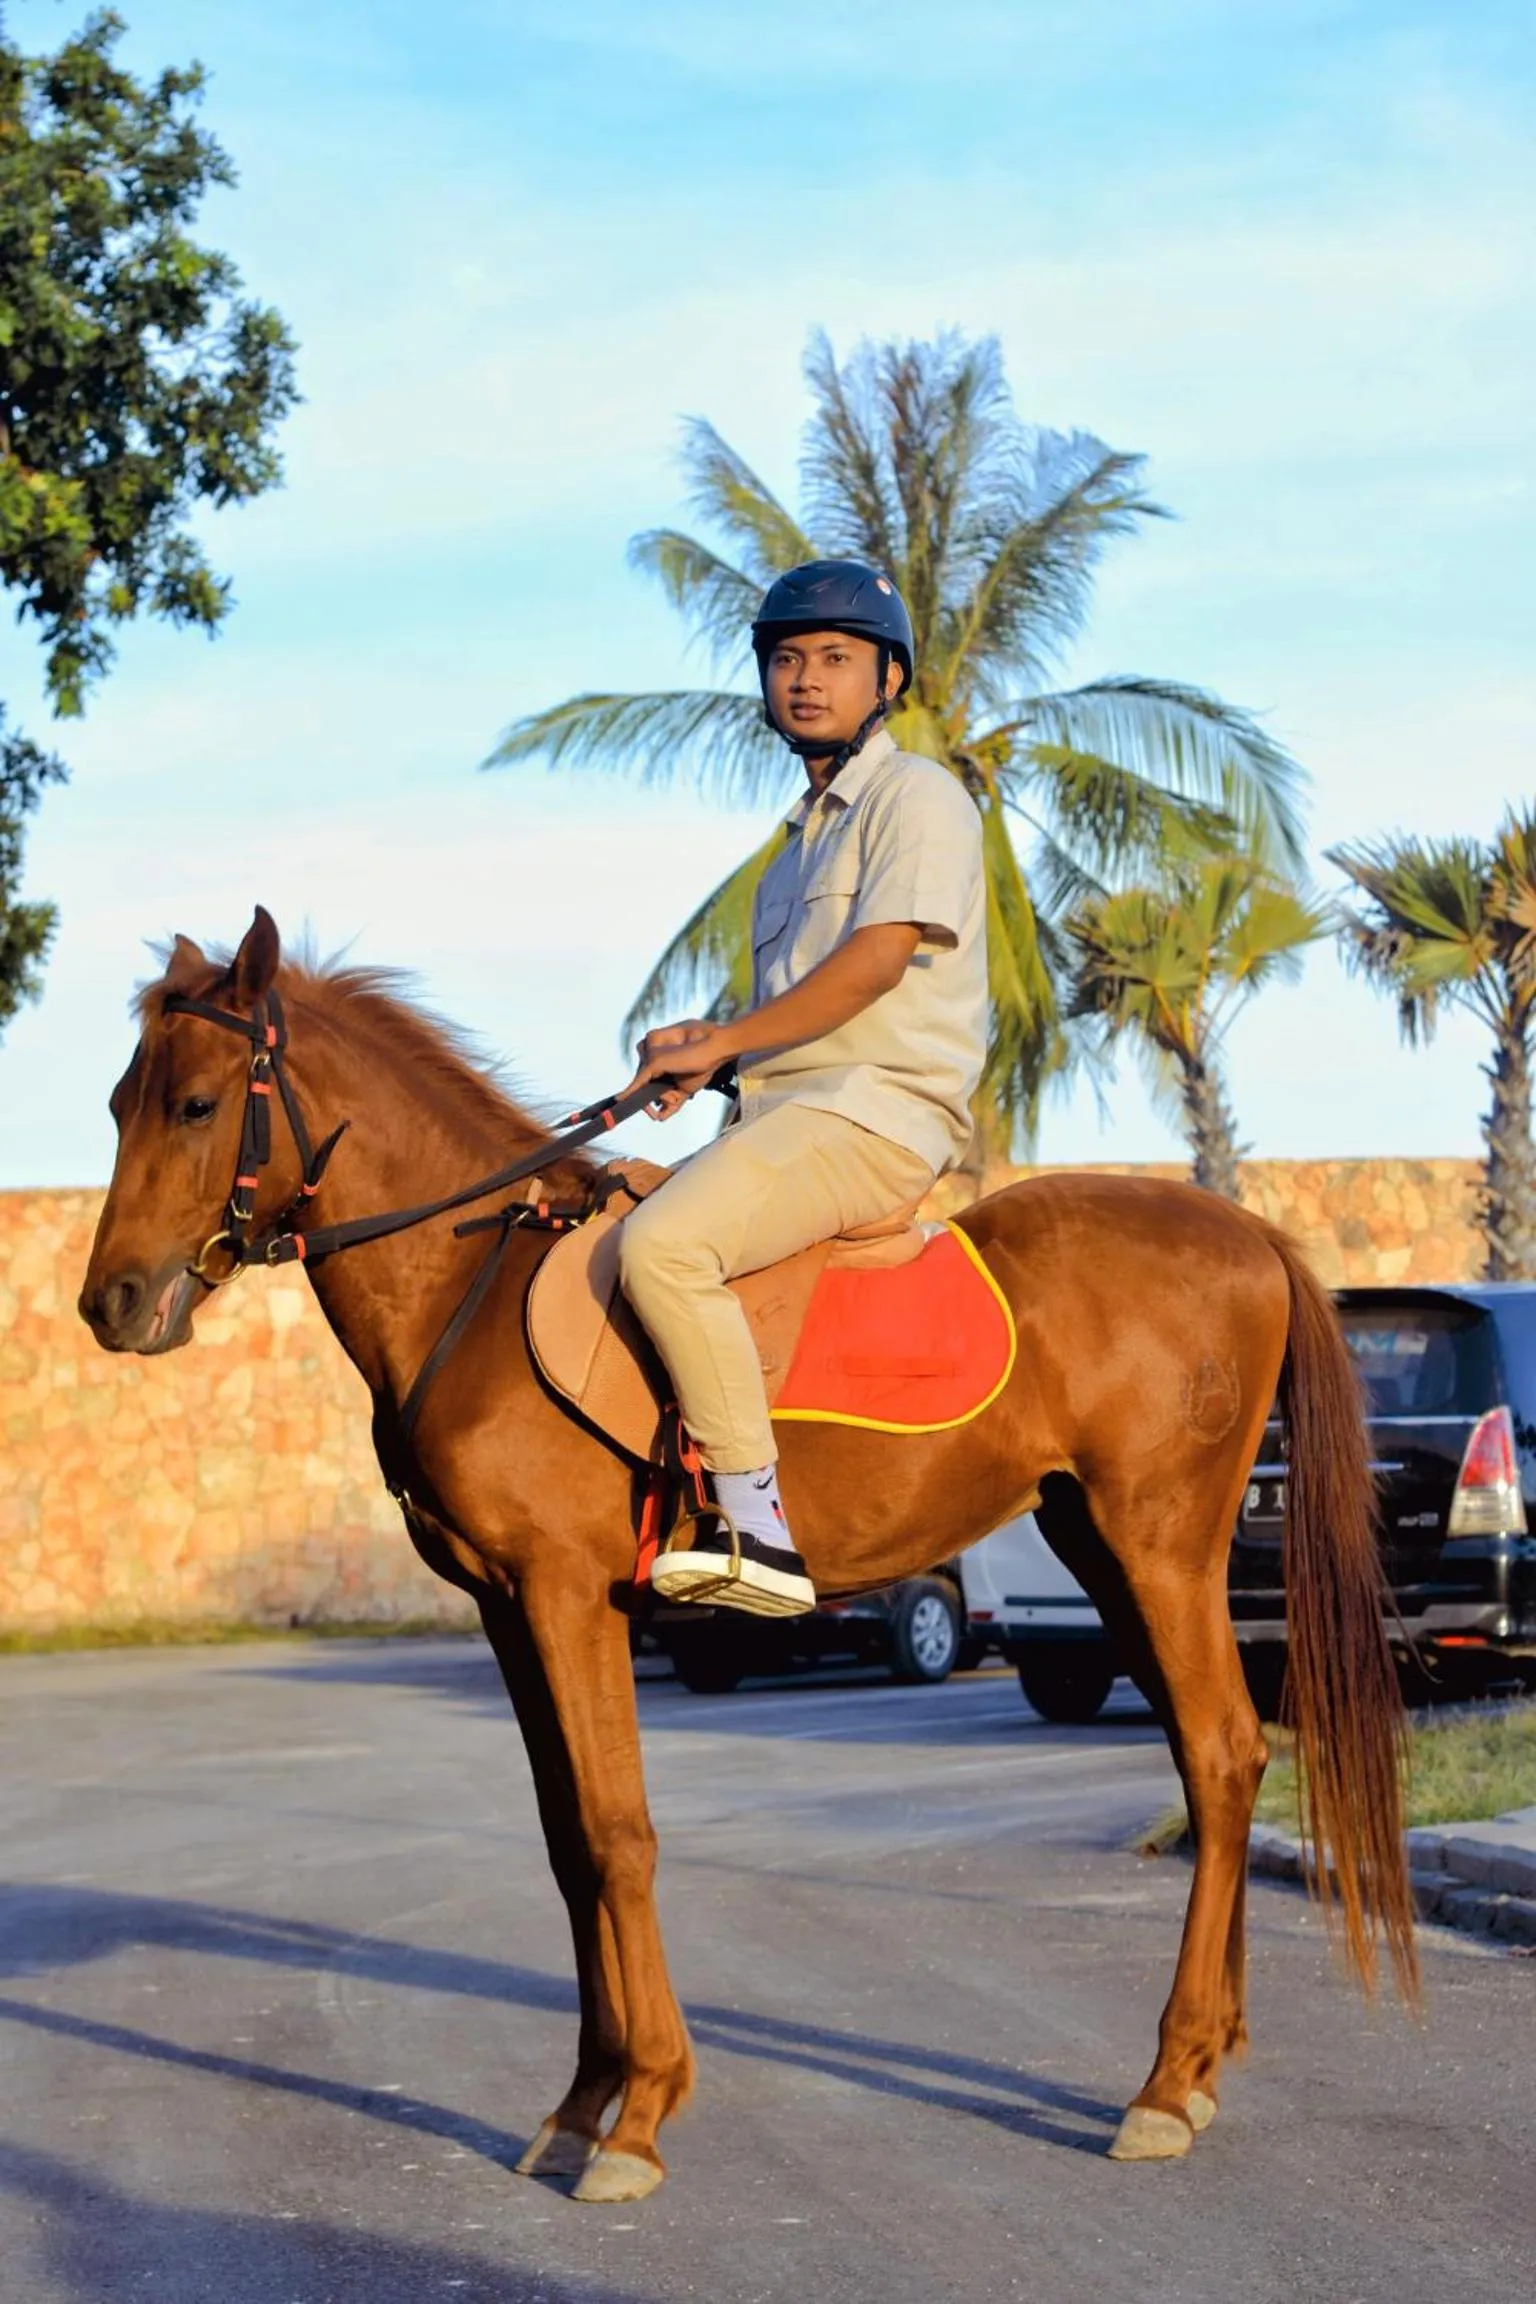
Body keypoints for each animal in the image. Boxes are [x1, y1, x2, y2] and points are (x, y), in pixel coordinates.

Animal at [79, 908, 1417, 2204]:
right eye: (116, 1105)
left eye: (194, 1104)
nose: (111, 1303)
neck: (471, 1275)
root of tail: (1247, 1231)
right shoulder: (511, 1611)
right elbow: (565, 1843)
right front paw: (580, 2104)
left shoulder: (568, 1600)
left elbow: (617, 1835)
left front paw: (640, 2113)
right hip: (1101, 1551)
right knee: (1209, 1760)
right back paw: (1203, 2063)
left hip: (1157, 1546)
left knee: (1226, 1753)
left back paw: (1167, 2080)